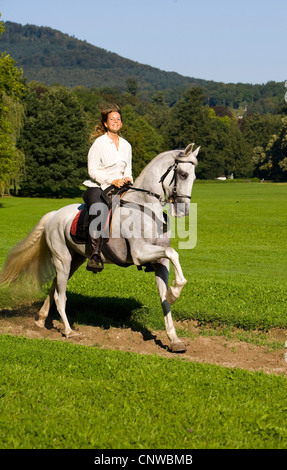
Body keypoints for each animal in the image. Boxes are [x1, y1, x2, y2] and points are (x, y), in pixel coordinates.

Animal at [0, 143, 199, 352]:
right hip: (62, 259)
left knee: (55, 288)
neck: (144, 207)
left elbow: (164, 299)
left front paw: (174, 338)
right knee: (60, 296)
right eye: (183, 174)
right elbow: (173, 253)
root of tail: (54, 215)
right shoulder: (140, 253)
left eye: (194, 177)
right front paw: (174, 293)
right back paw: (69, 331)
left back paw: (40, 319)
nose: (184, 211)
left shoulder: (159, 262)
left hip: (75, 260)